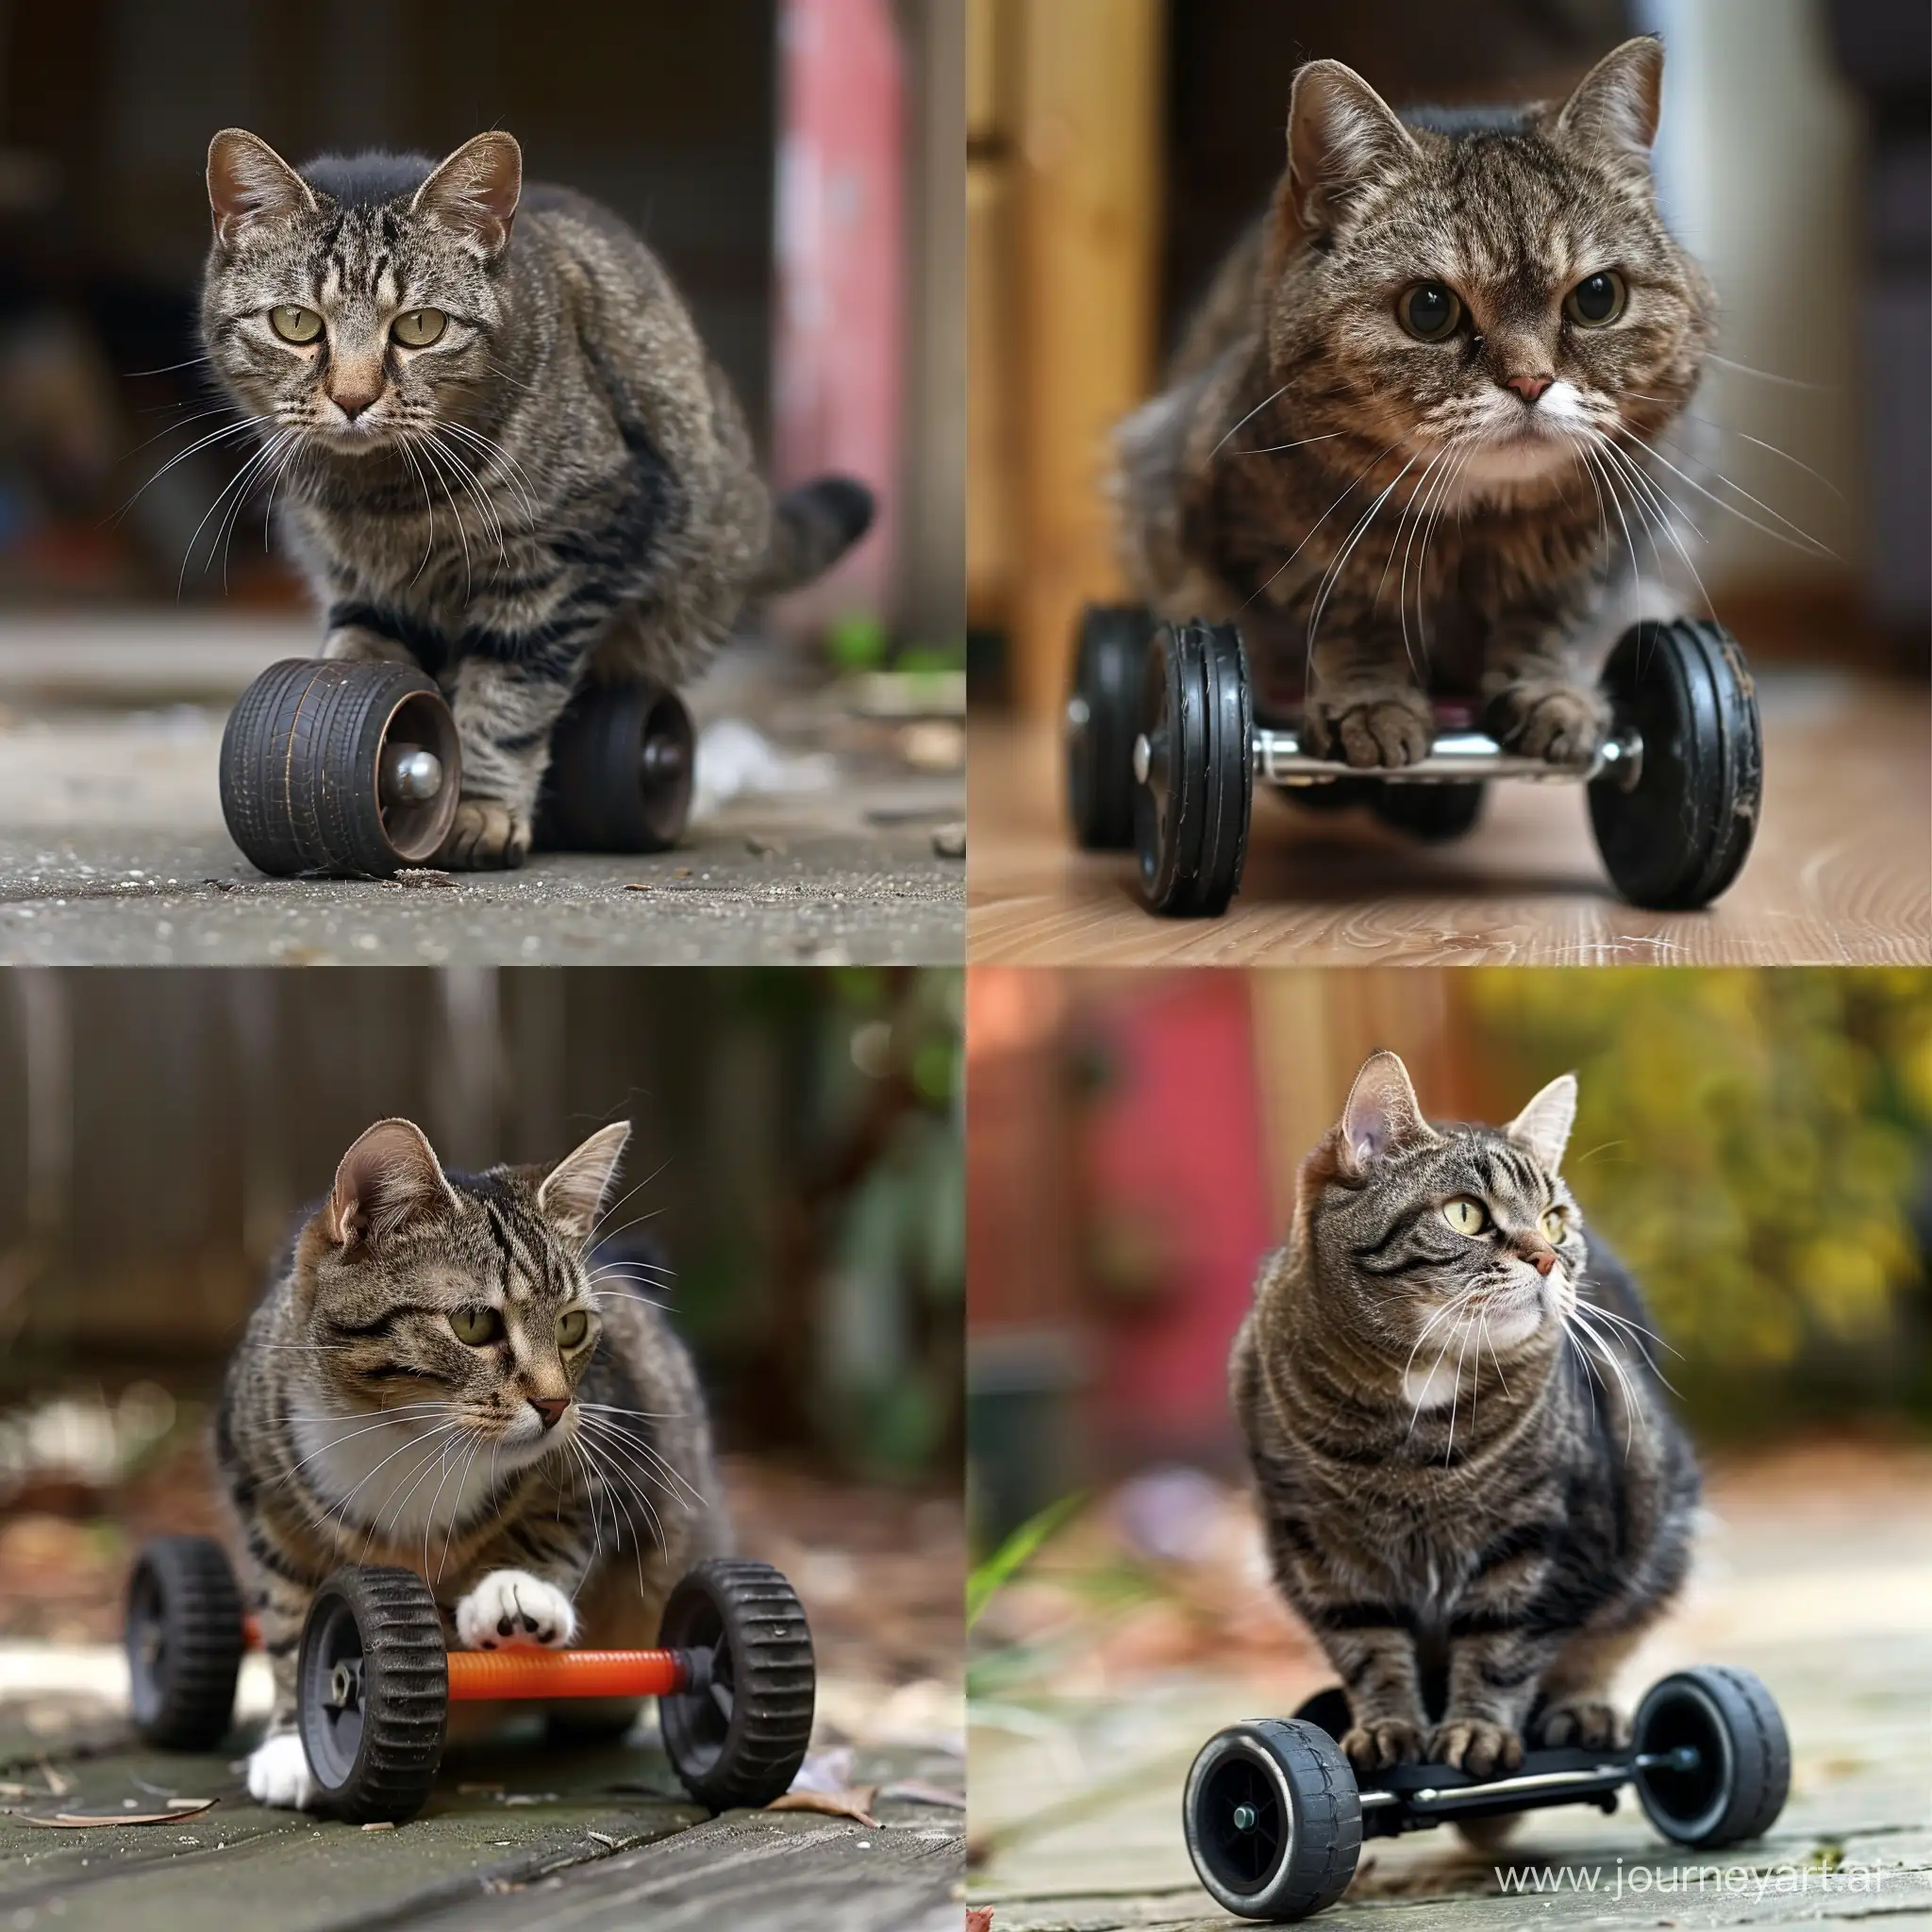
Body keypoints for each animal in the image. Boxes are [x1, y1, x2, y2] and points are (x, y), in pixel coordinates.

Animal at [202, 128, 869, 869]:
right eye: (295, 323)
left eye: (419, 327)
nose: (353, 399)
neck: (383, 500)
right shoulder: (362, 581)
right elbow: (360, 658)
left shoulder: (566, 555)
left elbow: (509, 695)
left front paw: (479, 807)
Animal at [217, 1120, 718, 1807]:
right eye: (475, 1323)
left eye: (572, 1326)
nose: (556, 1404)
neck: (410, 1437)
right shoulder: (261, 1489)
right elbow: (289, 1612)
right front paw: (295, 1742)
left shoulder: (612, 1440)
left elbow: (559, 1518)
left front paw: (513, 1591)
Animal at [1112, 37, 1715, 769]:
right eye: (1429, 309)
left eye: (1598, 298)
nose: (1531, 382)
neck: (1476, 536)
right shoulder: (1257, 534)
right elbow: (1347, 611)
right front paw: (1372, 706)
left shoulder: (1615, 534)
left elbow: (1556, 619)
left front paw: (1556, 695)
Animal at [1228, 1058, 1700, 1777]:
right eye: (1466, 1214)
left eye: (1555, 1222)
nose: (1547, 1258)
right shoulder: (1321, 1551)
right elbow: (1368, 1648)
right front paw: (1386, 1728)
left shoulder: (1542, 1541)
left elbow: (1504, 1647)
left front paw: (1477, 1730)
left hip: (1653, 1527)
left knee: (1603, 1642)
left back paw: (1583, 1711)